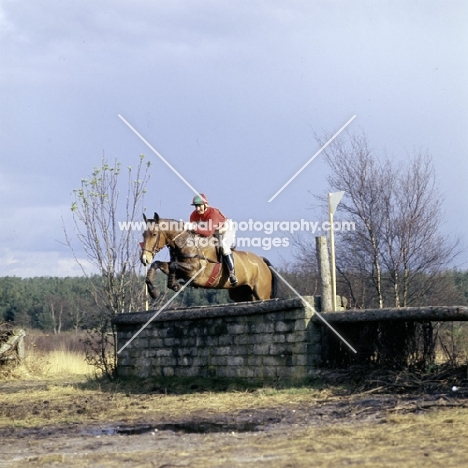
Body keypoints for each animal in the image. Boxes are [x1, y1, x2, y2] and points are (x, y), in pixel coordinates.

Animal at [141, 213, 276, 304]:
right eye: (143, 234)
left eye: (154, 234)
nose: (144, 259)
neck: (185, 243)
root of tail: (262, 261)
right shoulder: (181, 270)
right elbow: (158, 264)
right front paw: (155, 291)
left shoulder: (196, 271)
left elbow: (173, 265)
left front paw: (174, 285)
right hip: (240, 293)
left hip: (261, 292)